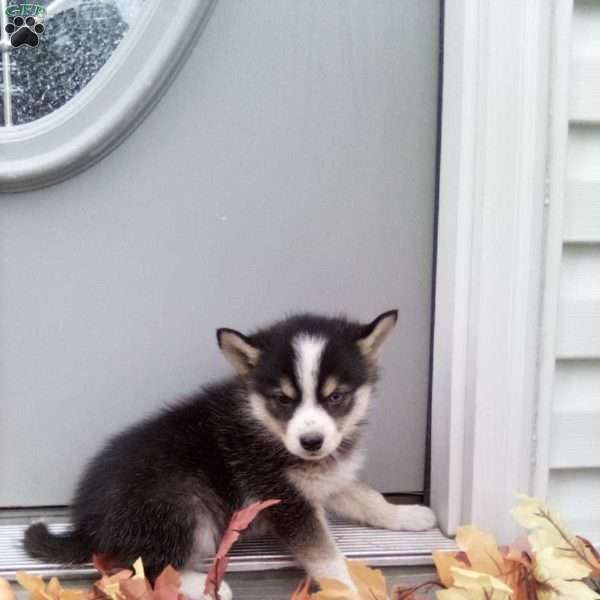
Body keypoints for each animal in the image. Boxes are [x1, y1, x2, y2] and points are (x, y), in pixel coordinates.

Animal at [24, 312, 436, 592]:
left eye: (336, 397)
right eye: (283, 399)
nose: (312, 442)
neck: (265, 426)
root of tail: (89, 523)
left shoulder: (325, 479)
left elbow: (367, 497)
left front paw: (406, 514)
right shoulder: (285, 500)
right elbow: (324, 554)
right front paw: (348, 587)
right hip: (183, 502)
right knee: (138, 565)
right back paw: (204, 585)